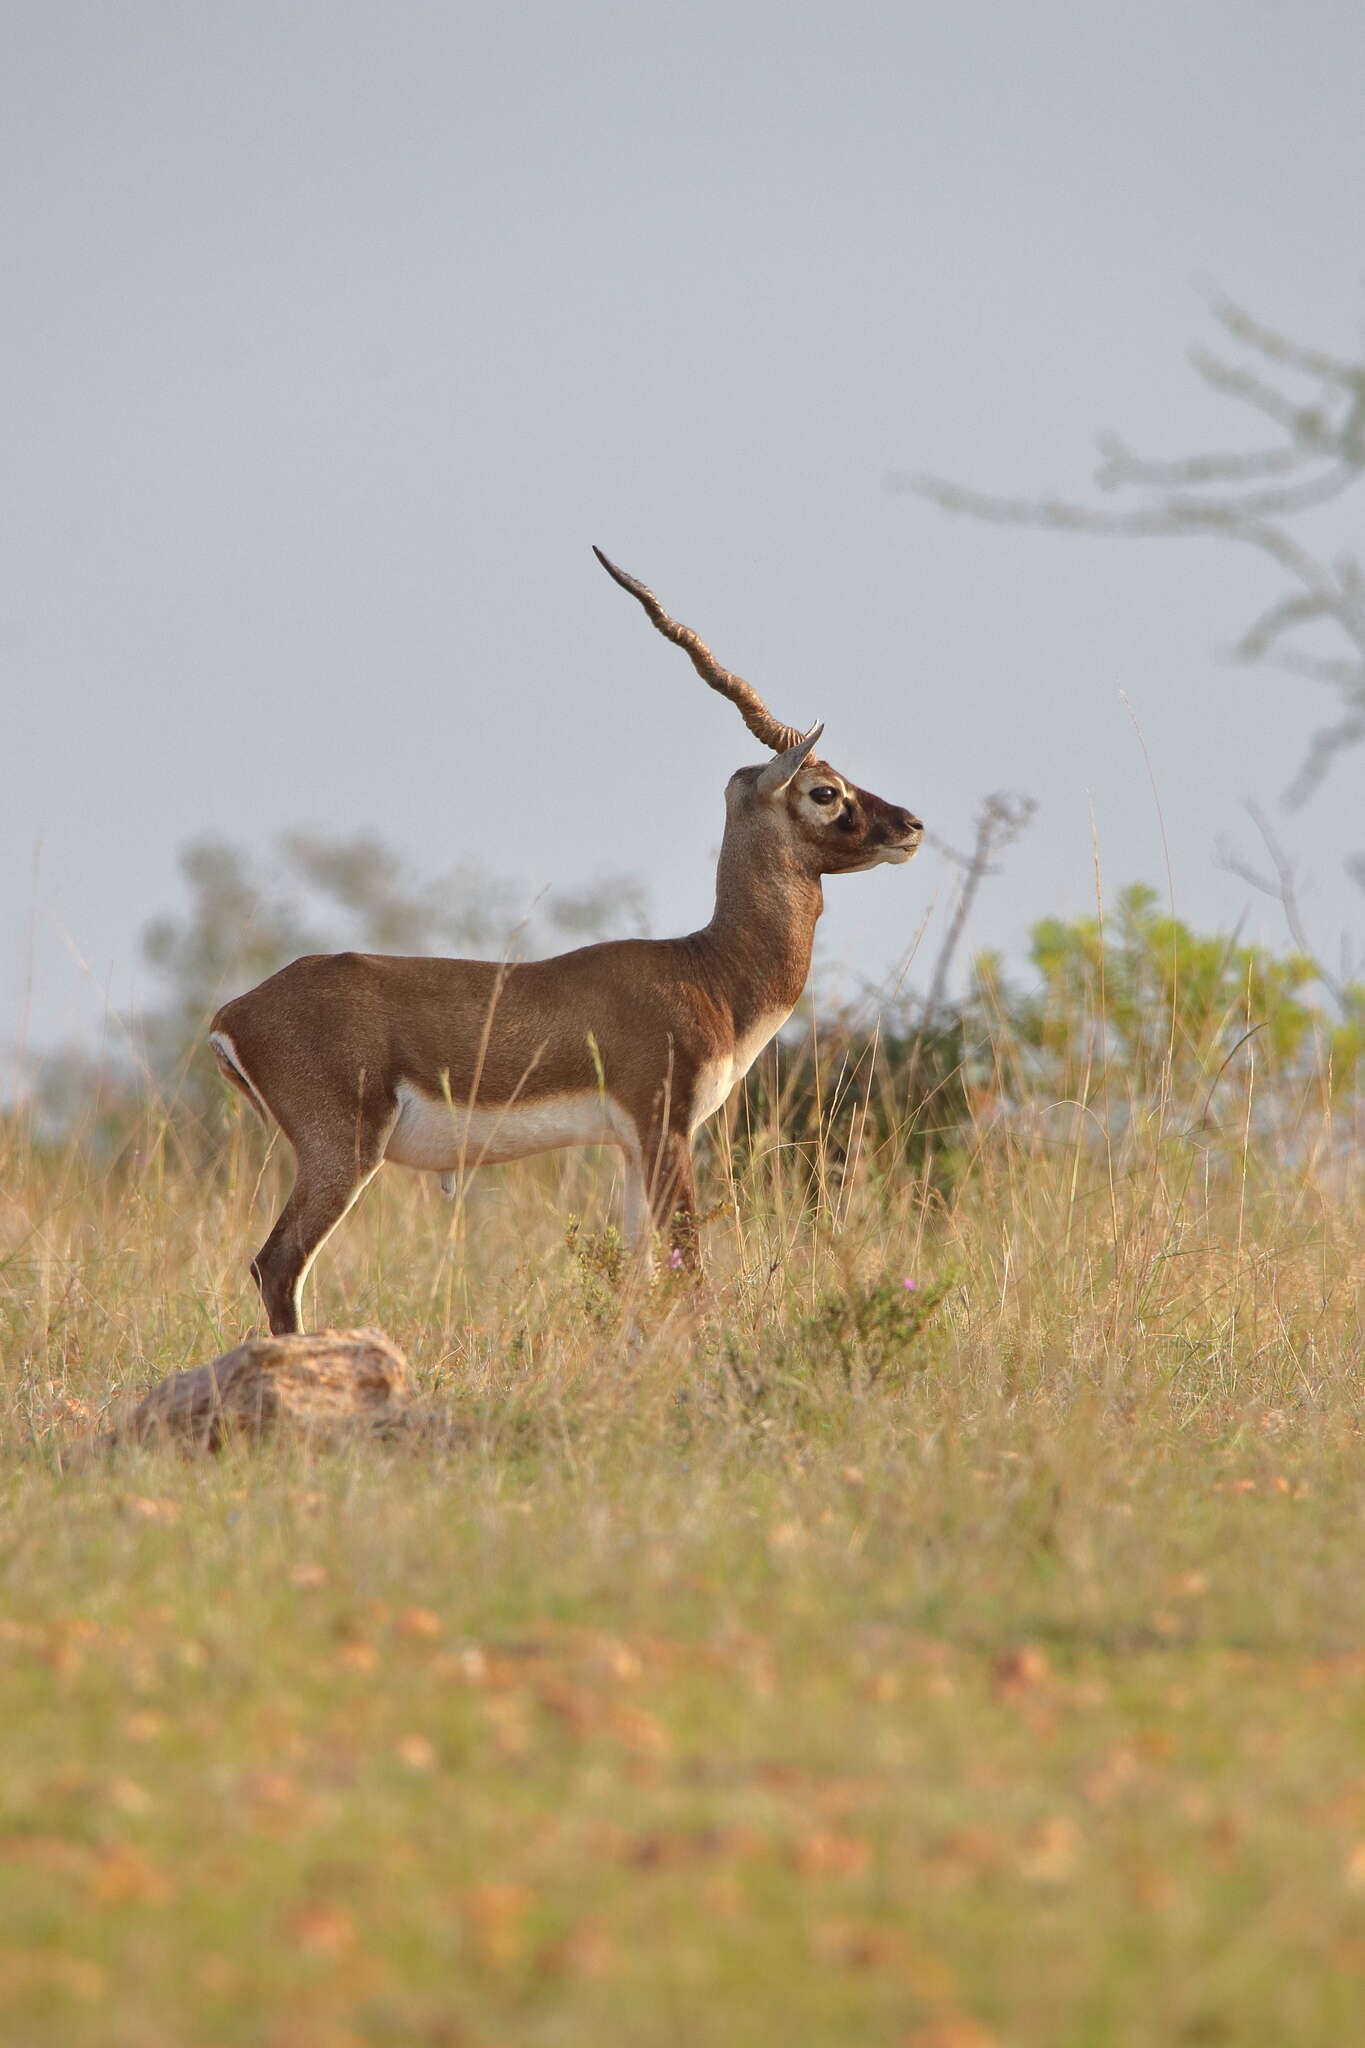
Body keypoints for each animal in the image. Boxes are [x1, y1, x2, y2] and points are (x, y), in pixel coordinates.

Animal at [210, 552, 916, 1335]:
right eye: (825, 790)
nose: (910, 826)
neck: (707, 970)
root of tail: (232, 1014)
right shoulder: (665, 1128)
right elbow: (691, 1274)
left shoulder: (634, 1148)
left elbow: (642, 1276)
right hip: (342, 1152)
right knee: (277, 1265)